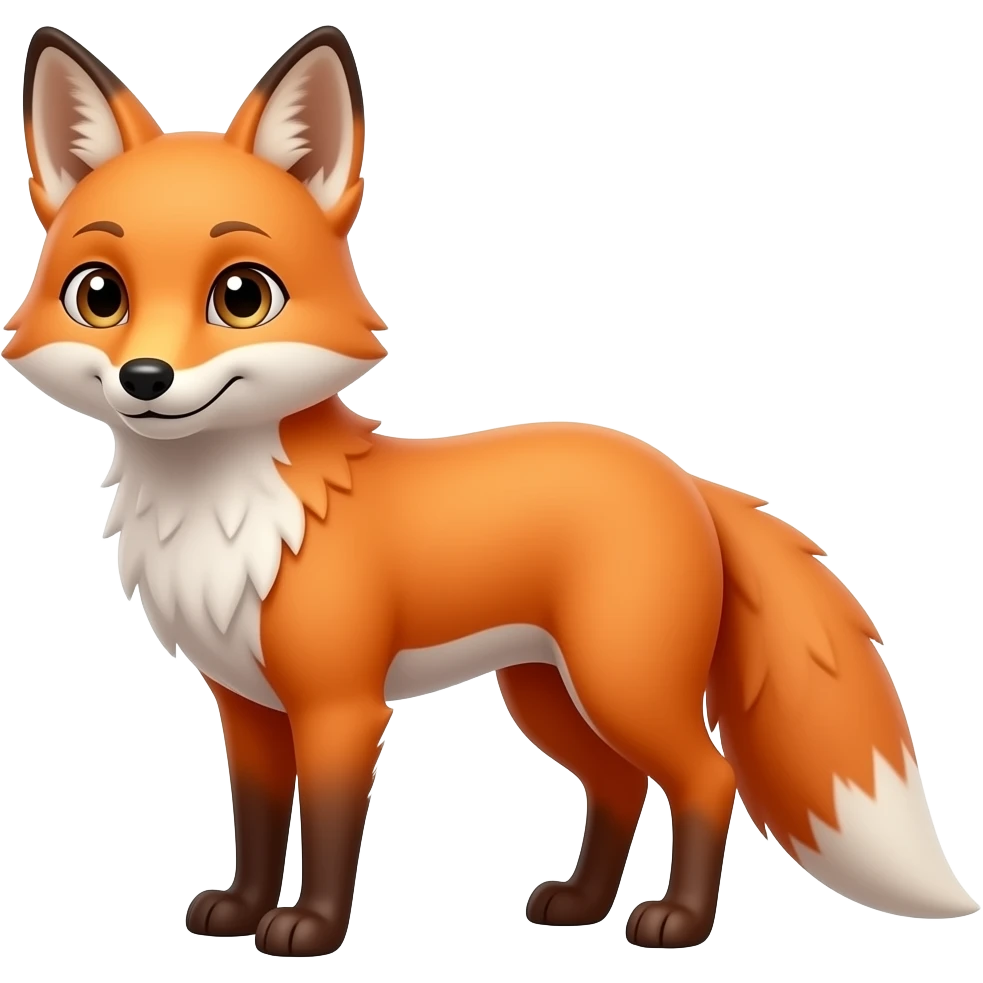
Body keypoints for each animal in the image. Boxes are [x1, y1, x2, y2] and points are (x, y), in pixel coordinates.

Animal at [3, 24, 978, 958]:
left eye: (242, 296)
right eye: (100, 295)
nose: (145, 378)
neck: (232, 513)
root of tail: (681, 475)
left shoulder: (341, 706)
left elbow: (327, 831)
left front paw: (309, 930)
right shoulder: (245, 704)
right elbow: (255, 821)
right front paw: (240, 909)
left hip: (619, 683)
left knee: (706, 776)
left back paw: (677, 921)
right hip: (546, 693)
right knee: (620, 783)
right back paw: (580, 904)